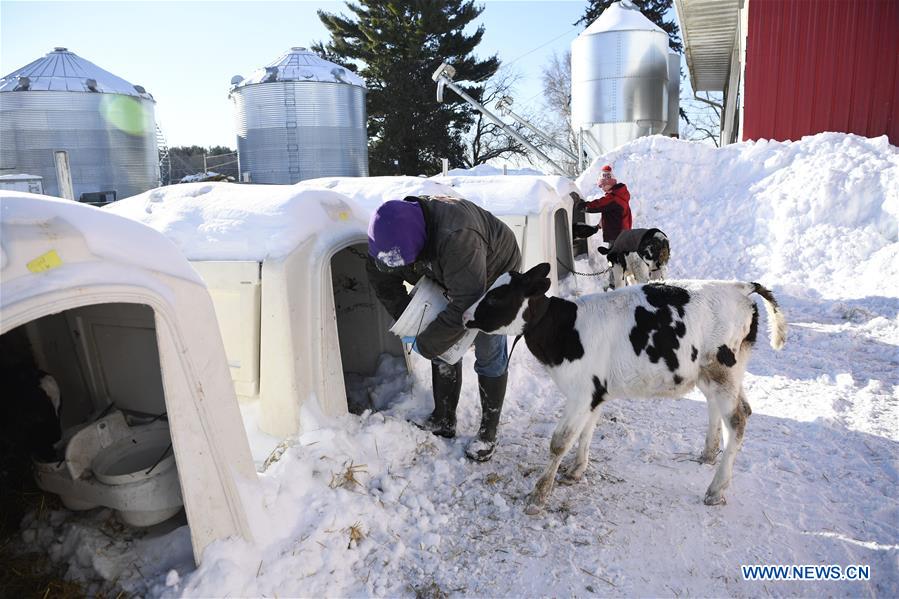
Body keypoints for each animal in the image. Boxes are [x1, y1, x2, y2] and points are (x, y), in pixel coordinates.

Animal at [464, 264, 788, 516]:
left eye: (496, 296)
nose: (466, 316)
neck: (566, 329)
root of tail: (741, 287)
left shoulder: (581, 395)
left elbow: (559, 442)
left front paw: (538, 496)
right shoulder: (594, 394)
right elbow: (586, 432)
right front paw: (575, 471)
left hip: (723, 370)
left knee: (738, 419)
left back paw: (716, 489)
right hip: (714, 372)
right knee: (727, 408)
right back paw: (708, 454)